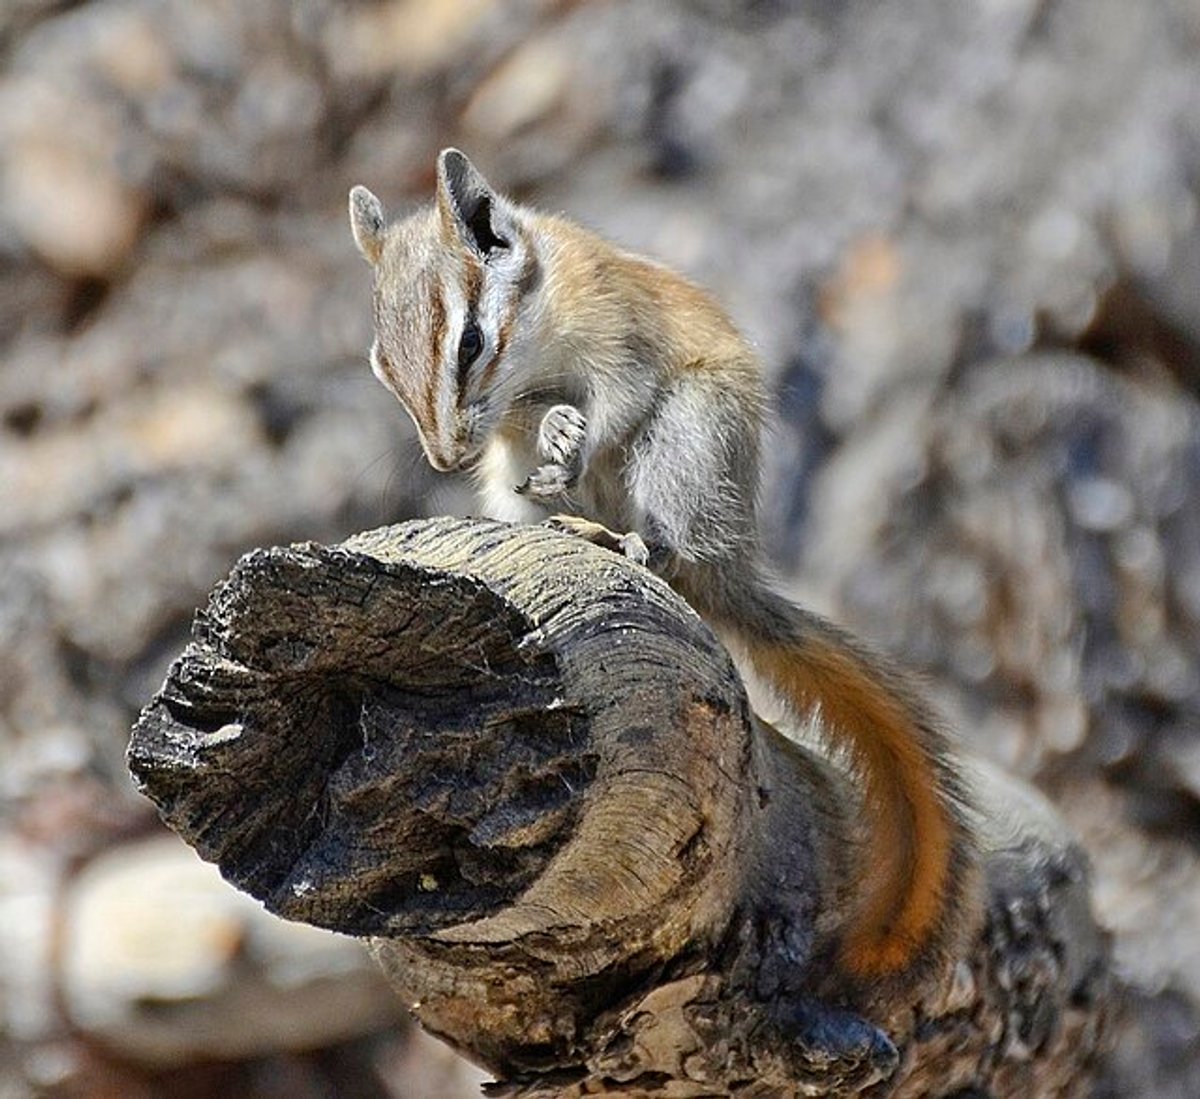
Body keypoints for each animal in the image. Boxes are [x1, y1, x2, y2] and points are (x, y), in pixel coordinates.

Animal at [348, 148, 977, 994]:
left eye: (471, 342)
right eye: (383, 365)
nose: (446, 459)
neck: (536, 347)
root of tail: (731, 567)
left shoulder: (620, 335)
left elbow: (619, 398)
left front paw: (574, 436)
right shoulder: (513, 426)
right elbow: (530, 424)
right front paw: (552, 429)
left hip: (687, 437)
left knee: (672, 545)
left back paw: (625, 541)